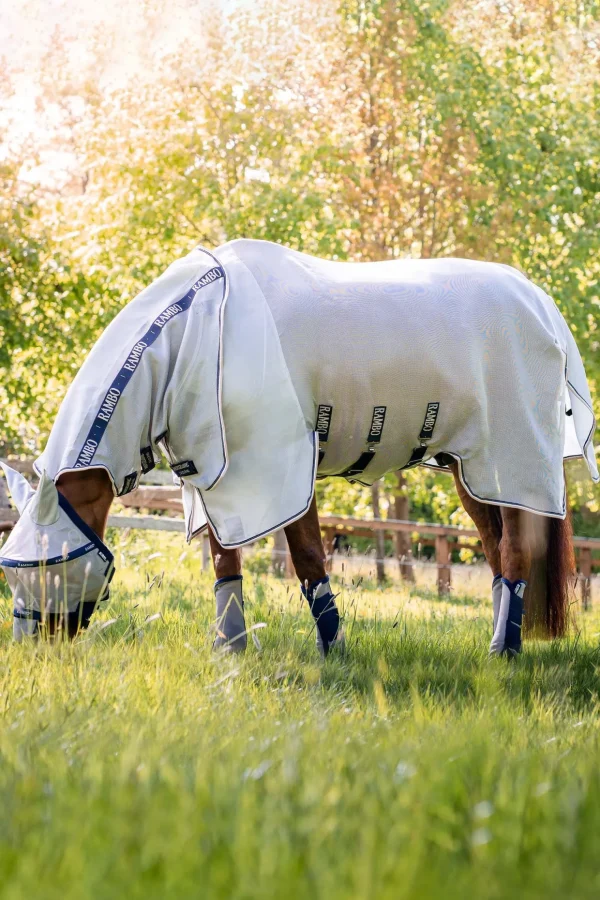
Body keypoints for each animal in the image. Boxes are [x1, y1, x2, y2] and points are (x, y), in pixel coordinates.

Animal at [2, 239, 596, 652]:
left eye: (48, 564)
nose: (34, 649)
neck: (198, 329)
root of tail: (541, 303)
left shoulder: (280, 464)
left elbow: (308, 557)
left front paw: (334, 654)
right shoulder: (216, 475)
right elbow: (224, 562)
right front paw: (230, 650)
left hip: (514, 459)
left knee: (515, 550)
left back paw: (504, 652)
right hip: (472, 469)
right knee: (497, 551)